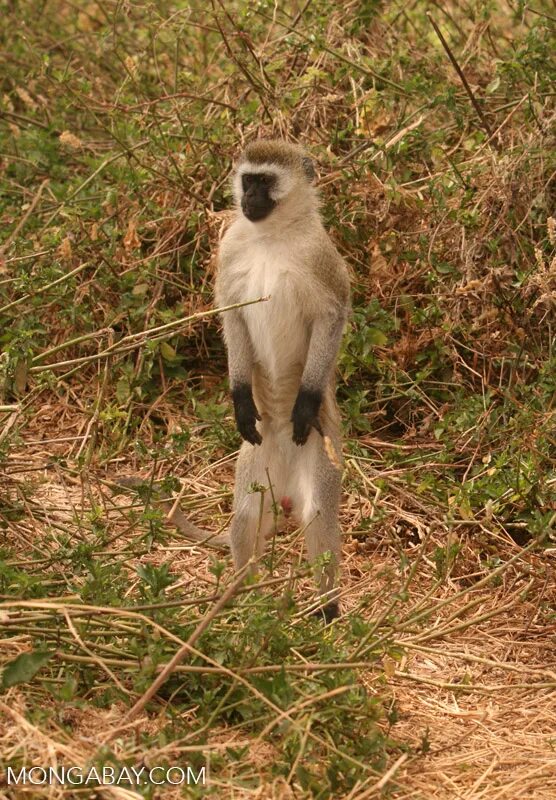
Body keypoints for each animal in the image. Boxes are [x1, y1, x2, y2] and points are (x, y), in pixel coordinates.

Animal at [215, 141, 350, 620]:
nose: (249, 199)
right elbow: (232, 316)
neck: (270, 236)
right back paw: (243, 599)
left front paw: (305, 404)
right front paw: (240, 402)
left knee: (318, 516)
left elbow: (332, 316)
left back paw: (328, 609)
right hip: (257, 460)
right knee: (246, 516)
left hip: (322, 456)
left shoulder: (320, 256)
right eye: (247, 179)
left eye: (266, 181)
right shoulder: (230, 249)